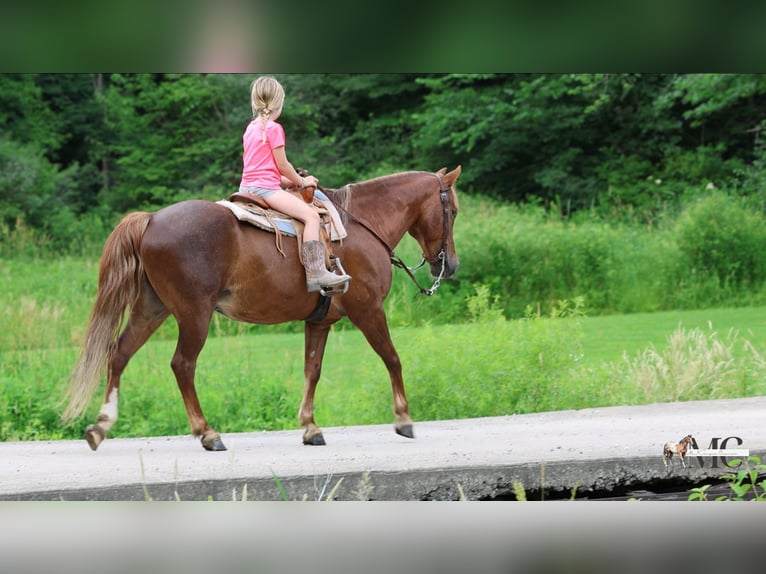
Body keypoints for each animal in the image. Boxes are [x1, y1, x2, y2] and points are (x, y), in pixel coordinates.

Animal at [61, 166, 462, 451]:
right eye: (454, 211)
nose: (451, 265)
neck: (360, 225)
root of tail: (152, 219)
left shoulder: (320, 322)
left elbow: (312, 370)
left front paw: (310, 426)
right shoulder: (368, 310)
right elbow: (392, 358)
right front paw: (404, 418)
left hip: (151, 308)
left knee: (119, 353)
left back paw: (100, 426)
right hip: (193, 314)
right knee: (182, 365)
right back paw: (207, 433)